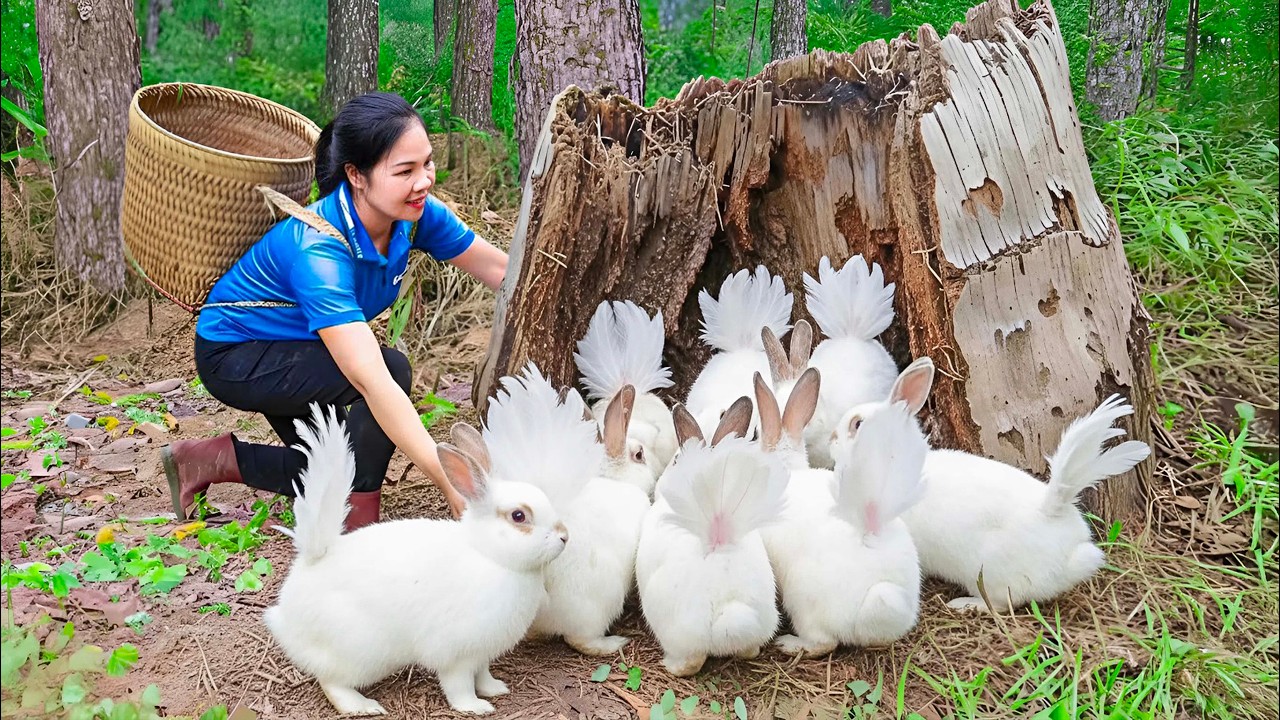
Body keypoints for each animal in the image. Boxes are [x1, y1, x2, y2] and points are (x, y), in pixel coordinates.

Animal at [263, 405, 569, 716]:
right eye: (519, 516)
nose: (564, 536)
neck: (489, 554)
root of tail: (311, 560)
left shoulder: (482, 654)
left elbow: (482, 674)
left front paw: (495, 689)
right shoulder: (456, 656)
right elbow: (459, 686)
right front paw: (475, 707)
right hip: (361, 652)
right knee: (332, 682)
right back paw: (363, 706)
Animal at [637, 398, 787, 676]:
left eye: (676, 460)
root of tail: (728, 608)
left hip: (676, 630)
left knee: (692, 662)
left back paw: (670, 665)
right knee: (750, 651)